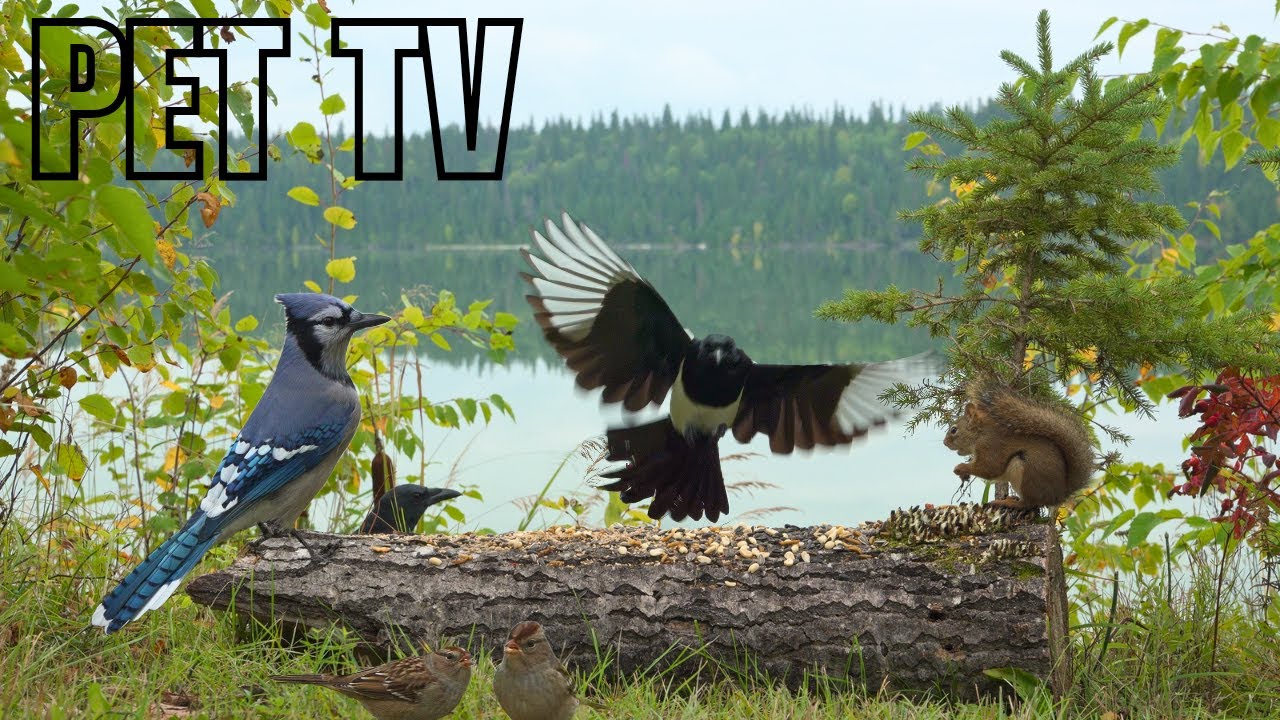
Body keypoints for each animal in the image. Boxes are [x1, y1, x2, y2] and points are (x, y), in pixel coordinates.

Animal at [943, 383, 1097, 509]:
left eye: (954, 430)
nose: (945, 443)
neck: (980, 433)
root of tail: (1058, 495)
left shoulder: (991, 446)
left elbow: (989, 468)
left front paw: (960, 468)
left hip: (1026, 473)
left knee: (1029, 503)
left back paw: (1009, 503)